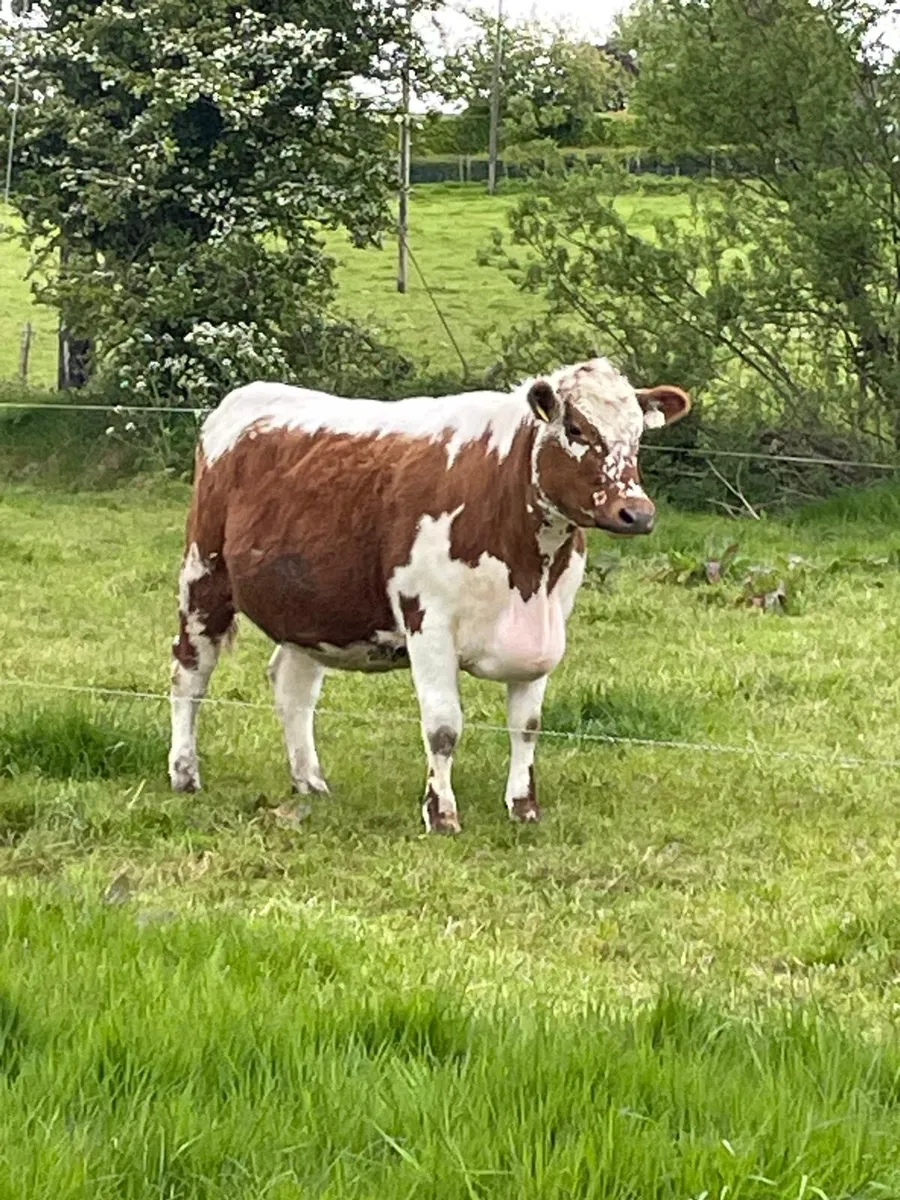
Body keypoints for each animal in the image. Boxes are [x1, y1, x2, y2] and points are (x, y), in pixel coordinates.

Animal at [168, 358, 690, 833]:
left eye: (638, 436)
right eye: (577, 428)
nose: (637, 513)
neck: (526, 569)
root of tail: (248, 396)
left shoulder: (548, 622)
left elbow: (527, 724)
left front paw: (524, 807)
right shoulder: (430, 621)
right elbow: (443, 727)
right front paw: (441, 814)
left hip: (309, 607)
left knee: (292, 687)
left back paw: (309, 782)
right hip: (204, 574)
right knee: (189, 674)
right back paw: (185, 774)